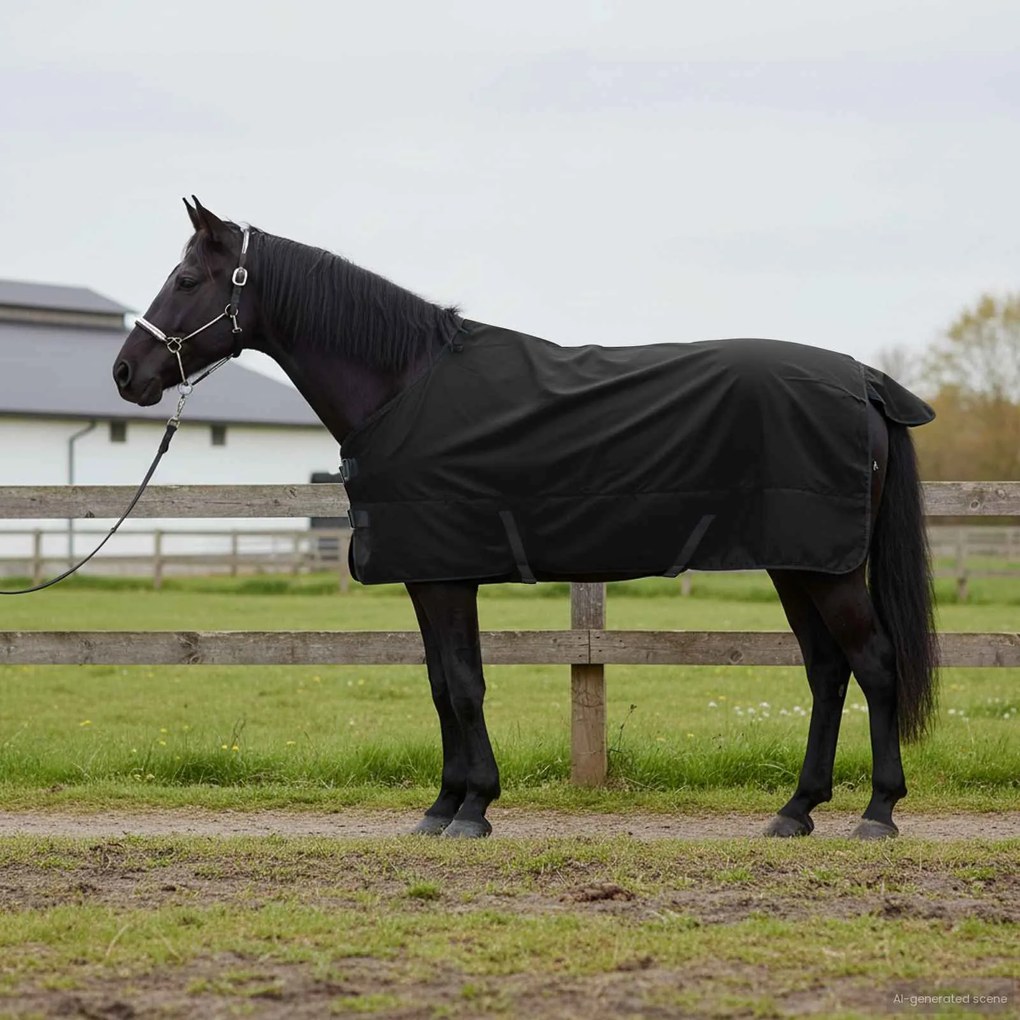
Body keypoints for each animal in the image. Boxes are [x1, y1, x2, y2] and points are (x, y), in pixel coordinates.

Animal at [112, 197, 938, 840]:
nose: (126, 373)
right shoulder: (432, 576)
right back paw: (796, 810)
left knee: (874, 664)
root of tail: (863, 380)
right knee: (827, 671)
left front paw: (472, 807)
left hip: (825, 570)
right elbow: (443, 684)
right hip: (798, 564)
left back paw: (878, 812)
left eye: (186, 279)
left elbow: (463, 686)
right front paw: (445, 805)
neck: (402, 385)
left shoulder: (445, 577)